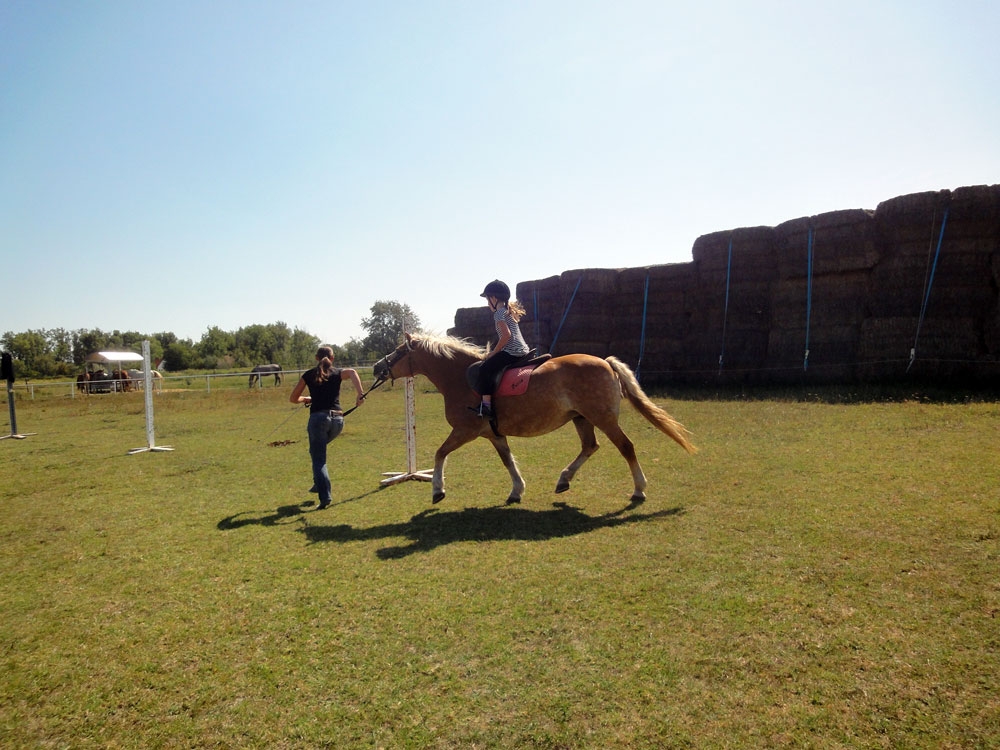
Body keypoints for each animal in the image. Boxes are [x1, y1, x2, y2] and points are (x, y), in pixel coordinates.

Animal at [374, 334, 696, 506]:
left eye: (399, 352)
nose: (378, 367)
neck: (461, 379)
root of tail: (605, 362)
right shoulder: (493, 433)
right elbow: (507, 460)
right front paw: (517, 490)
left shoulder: (465, 430)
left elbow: (440, 453)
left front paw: (437, 489)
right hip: (581, 418)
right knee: (590, 447)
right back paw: (564, 479)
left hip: (603, 418)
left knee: (626, 447)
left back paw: (639, 489)